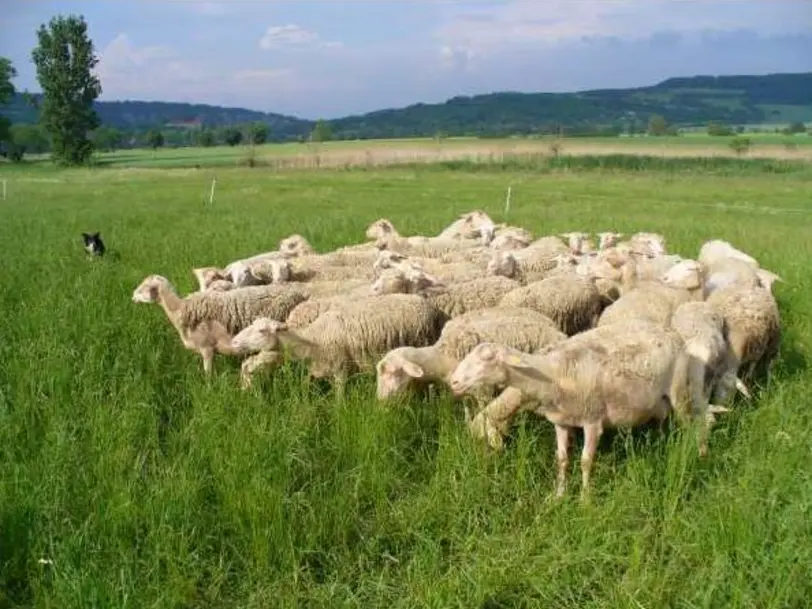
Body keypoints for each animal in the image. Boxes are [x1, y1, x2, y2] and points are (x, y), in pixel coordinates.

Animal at [228, 294, 448, 390]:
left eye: (261, 330)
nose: (234, 343)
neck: (314, 339)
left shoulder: (341, 370)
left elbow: (339, 399)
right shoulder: (316, 369)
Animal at [450, 320, 712, 496]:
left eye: (487, 360)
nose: (454, 382)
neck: (554, 375)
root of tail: (674, 335)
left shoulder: (593, 422)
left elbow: (586, 461)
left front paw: (585, 500)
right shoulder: (561, 422)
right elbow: (562, 459)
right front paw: (559, 496)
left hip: (680, 390)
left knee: (694, 423)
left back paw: (698, 455)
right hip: (659, 400)